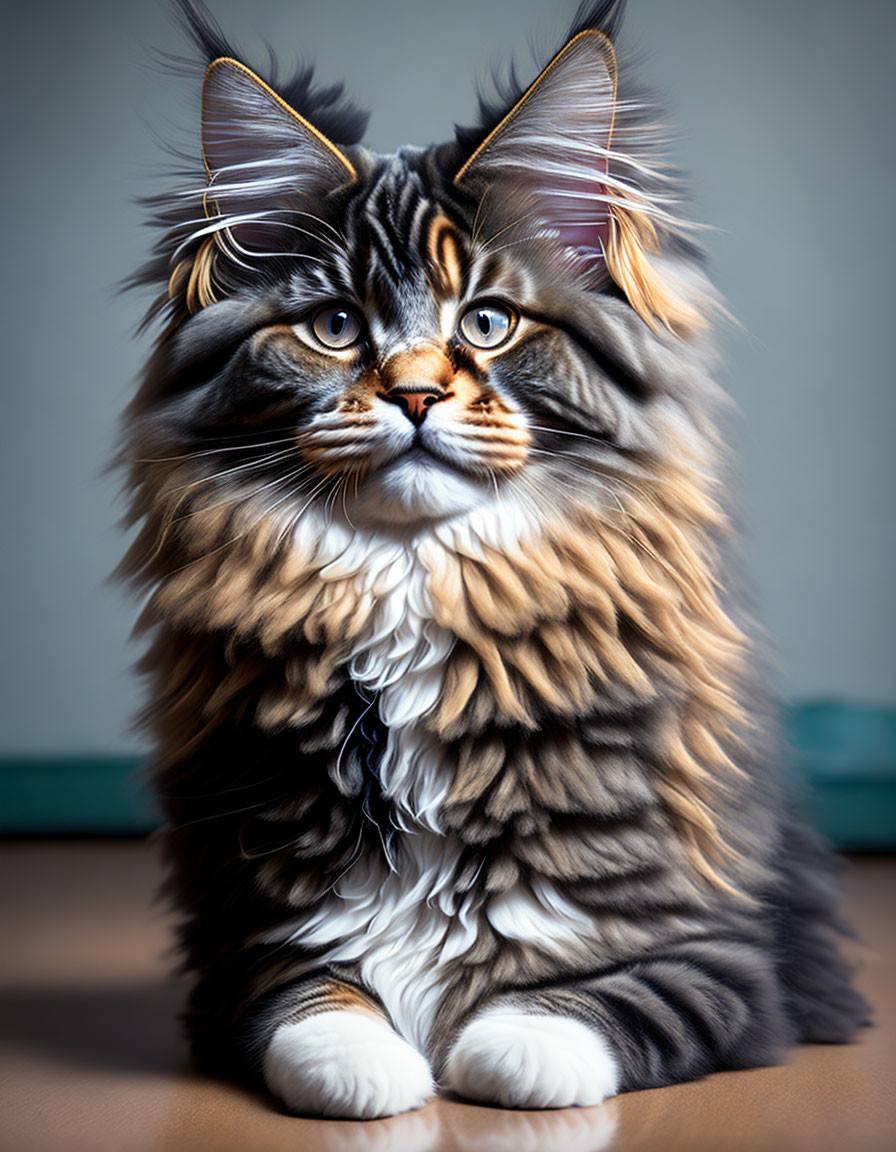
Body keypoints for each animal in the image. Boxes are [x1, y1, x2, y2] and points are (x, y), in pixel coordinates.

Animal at [118, 0, 866, 1115]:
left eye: (487, 321)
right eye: (335, 326)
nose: (416, 393)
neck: (415, 593)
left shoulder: (720, 957)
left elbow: (559, 1015)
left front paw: (484, 1054)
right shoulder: (244, 943)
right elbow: (314, 1008)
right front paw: (382, 1073)